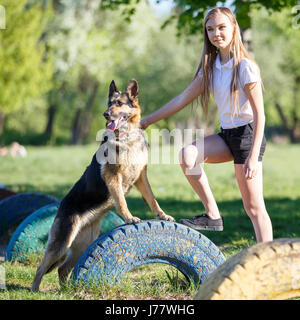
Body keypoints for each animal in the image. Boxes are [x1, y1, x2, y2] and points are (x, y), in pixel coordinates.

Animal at [31, 79, 175, 292]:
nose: (105, 114)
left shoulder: (141, 177)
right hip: (62, 243)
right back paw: (34, 289)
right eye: (109, 103)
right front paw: (129, 218)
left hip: (83, 244)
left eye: (119, 103)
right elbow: (121, 201)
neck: (127, 137)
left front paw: (162, 215)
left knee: (63, 268)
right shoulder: (113, 176)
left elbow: (152, 199)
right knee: (42, 267)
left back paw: (66, 291)